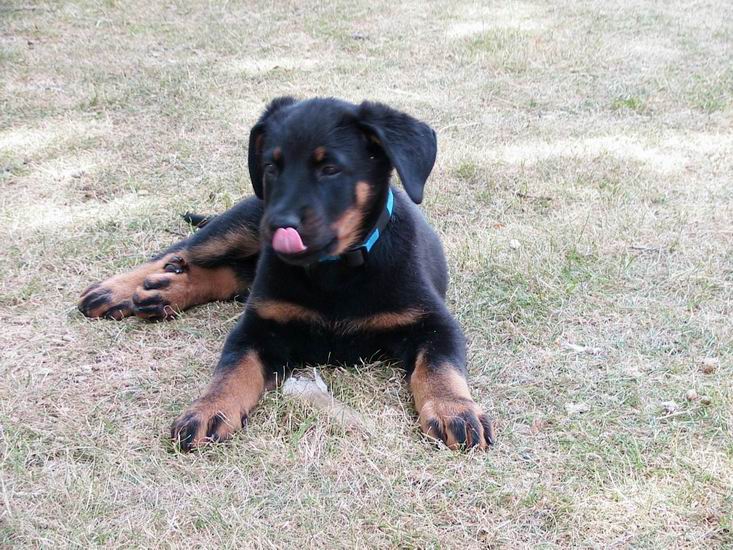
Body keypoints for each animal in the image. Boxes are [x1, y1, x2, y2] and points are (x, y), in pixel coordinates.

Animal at [78, 98, 492, 452]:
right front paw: (210, 407)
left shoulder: (434, 322)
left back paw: (164, 292)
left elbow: (440, 367)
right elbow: (232, 369)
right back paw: (116, 290)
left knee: (227, 274)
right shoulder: (258, 325)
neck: (334, 273)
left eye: (330, 168)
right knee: (178, 252)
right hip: (236, 227)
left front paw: (454, 409)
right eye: (271, 166)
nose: (276, 227)